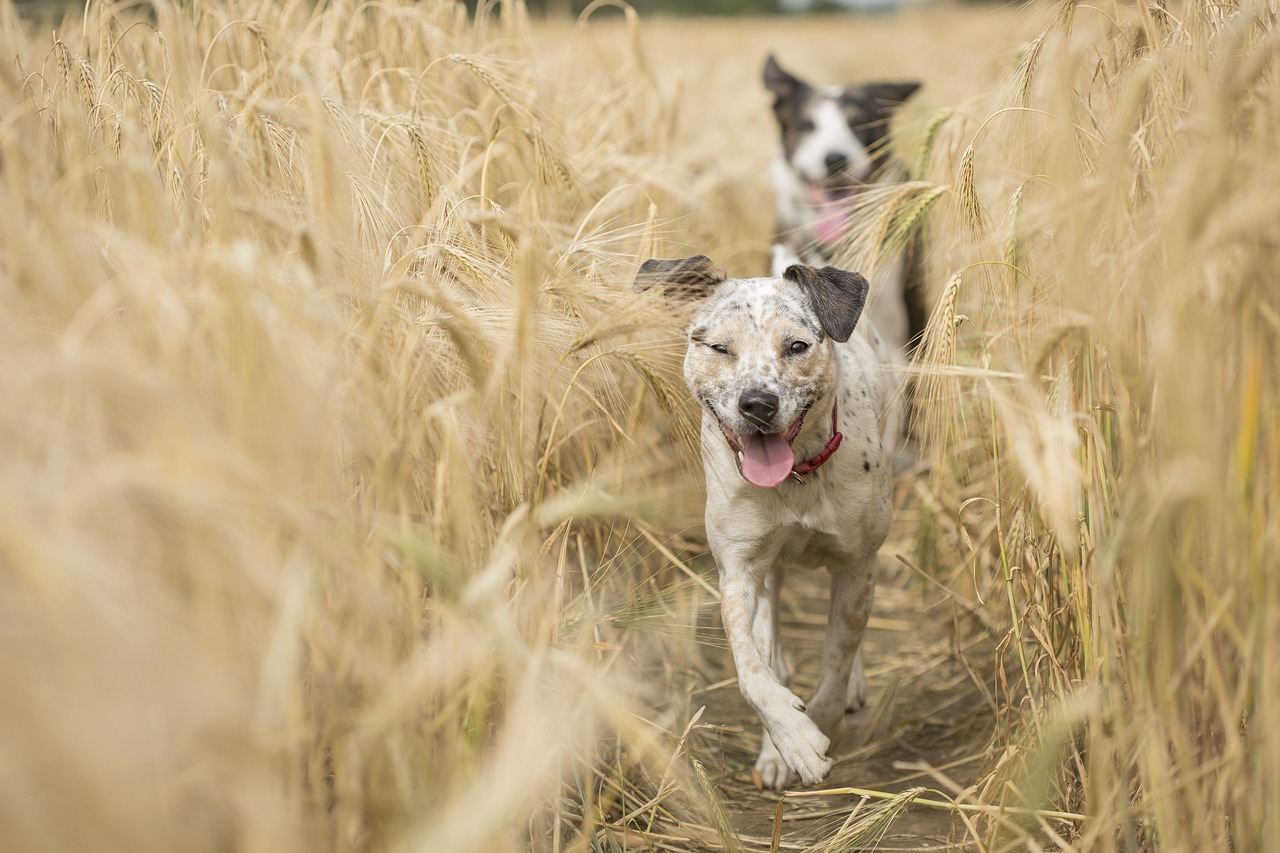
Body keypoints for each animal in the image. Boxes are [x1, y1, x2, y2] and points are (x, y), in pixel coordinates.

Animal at [632, 253, 896, 788]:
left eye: (797, 346)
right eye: (719, 347)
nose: (757, 403)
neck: (797, 480)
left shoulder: (856, 565)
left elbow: (837, 662)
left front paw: (817, 726)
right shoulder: (739, 571)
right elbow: (751, 669)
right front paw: (789, 740)